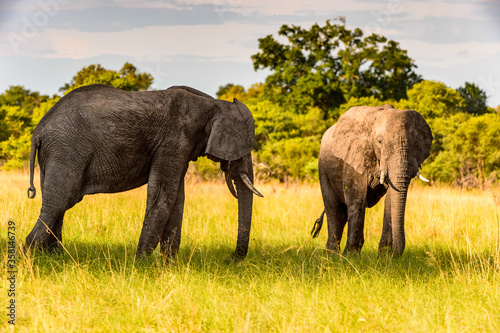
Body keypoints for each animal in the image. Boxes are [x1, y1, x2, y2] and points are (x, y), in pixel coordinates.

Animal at [25, 83, 264, 260]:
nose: (231, 259)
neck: (213, 103)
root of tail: (39, 129)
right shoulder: (173, 141)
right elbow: (163, 196)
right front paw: (141, 263)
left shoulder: (180, 148)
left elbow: (177, 198)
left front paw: (169, 265)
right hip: (66, 151)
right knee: (59, 202)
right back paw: (32, 257)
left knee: (58, 203)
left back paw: (54, 257)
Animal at [310, 105, 432, 255]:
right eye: (379, 142)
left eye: (415, 143)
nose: (395, 253)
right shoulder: (355, 156)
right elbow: (357, 201)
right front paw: (350, 256)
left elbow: (390, 201)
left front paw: (385, 256)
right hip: (323, 168)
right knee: (334, 209)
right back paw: (331, 255)